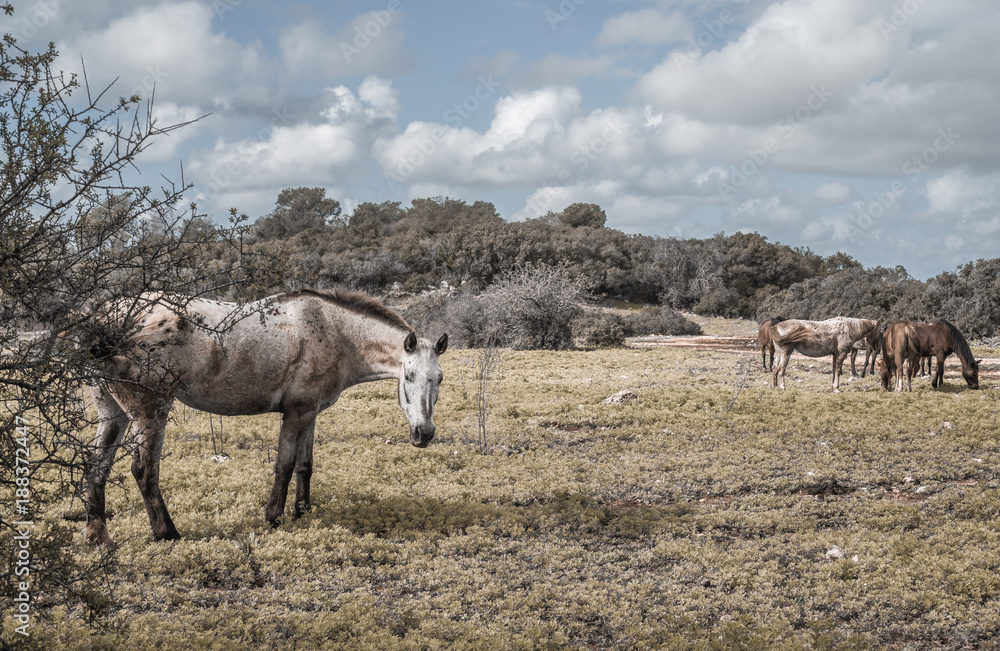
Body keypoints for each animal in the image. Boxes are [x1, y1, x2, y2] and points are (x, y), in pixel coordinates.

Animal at [82, 288, 448, 545]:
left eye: (440, 378)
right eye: (409, 376)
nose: (424, 434)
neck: (334, 331)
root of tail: (103, 317)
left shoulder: (310, 413)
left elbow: (305, 465)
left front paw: (303, 512)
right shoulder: (296, 413)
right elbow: (284, 465)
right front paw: (273, 517)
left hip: (113, 413)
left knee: (96, 465)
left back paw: (98, 535)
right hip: (150, 412)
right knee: (144, 470)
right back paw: (166, 533)